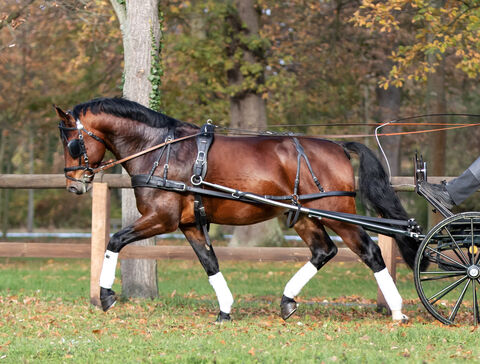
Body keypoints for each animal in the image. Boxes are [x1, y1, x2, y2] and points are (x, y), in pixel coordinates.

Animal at [55, 96, 420, 322]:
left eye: (72, 143)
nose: (74, 185)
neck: (159, 150)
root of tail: (337, 146)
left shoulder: (162, 219)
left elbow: (114, 240)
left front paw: (105, 294)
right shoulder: (189, 224)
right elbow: (210, 263)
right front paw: (225, 309)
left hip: (336, 211)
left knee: (370, 251)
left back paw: (398, 311)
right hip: (303, 216)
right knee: (323, 251)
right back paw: (287, 300)